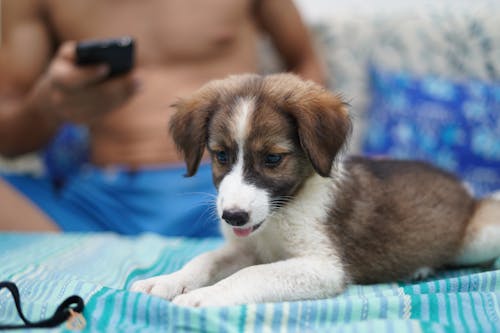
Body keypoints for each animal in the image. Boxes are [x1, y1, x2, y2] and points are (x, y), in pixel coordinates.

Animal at [131, 73, 500, 306]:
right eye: (221, 156)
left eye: (272, 159)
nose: (233, 217)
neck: (281, 213)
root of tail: (465, 189)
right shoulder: (247, 247)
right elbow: (205, 258)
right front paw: (166, 280)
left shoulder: (324, 266)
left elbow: (252, 274)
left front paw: (205, 296)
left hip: (479, 237)